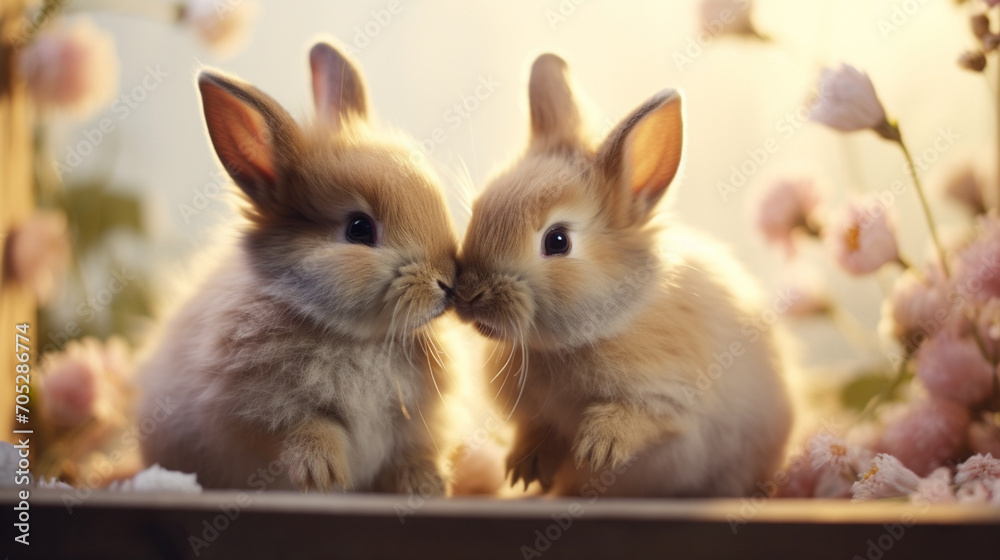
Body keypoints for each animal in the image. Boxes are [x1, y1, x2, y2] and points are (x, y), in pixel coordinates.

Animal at [135, 41, 460, 494]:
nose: (447, 282)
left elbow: (413, 452)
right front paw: (323, 477)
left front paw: (426, 486)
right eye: (359, 228)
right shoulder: (266, 410)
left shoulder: (415, 423)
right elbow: (308, 431)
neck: (359, 338)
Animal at [453, 53, 793, 497]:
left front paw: (597, 447)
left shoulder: (673, 397)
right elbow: (538, 431)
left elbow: (643, 418)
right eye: (478, 211)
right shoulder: (533, 416)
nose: (468, 294)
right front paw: (524, 469)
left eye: (557, 240)